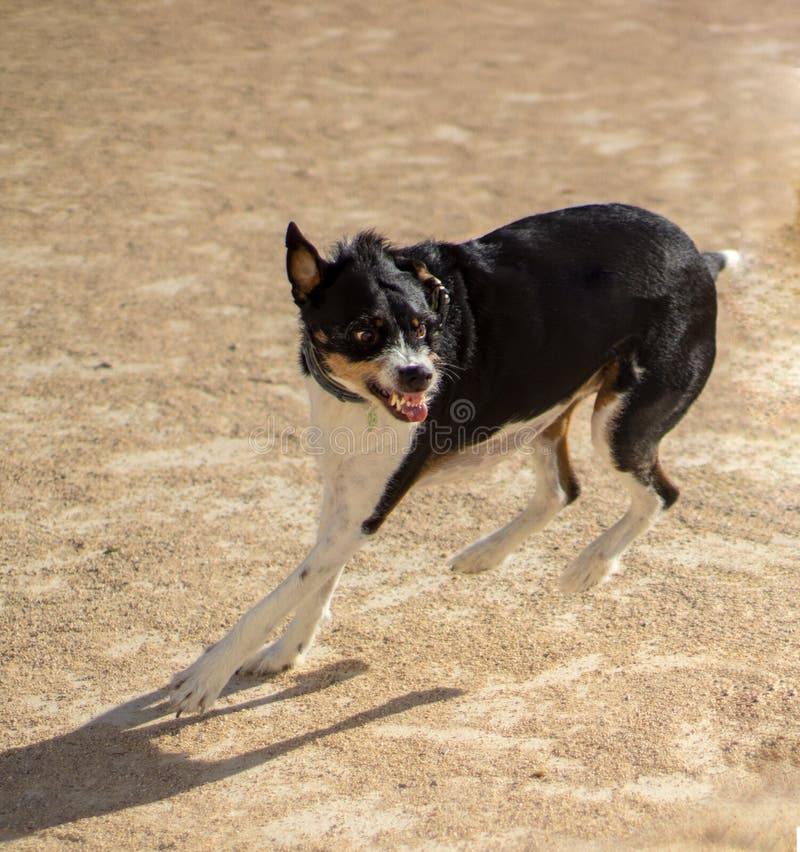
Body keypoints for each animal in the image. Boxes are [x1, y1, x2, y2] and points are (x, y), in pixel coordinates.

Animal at [169, 205, 736, 712]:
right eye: (364, 332)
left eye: (423, 328)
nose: (421, 374)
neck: (358, 401)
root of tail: (699, 258)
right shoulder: (346, 496)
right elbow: (317, 581)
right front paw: (288, 652)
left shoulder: (368, 511)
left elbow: (284, 591)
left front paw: (205, 676)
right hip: (544, 407)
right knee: (563, 490)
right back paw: (484, 554)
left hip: (618, 424)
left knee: (659, 494)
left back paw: (589, 566)